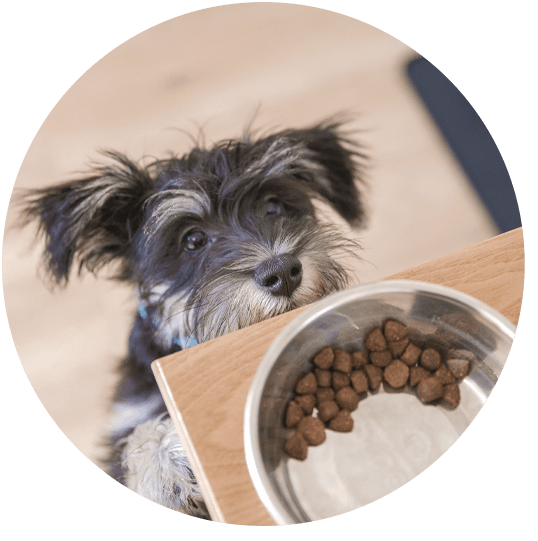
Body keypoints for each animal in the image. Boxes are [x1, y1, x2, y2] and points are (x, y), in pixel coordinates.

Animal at [21, 119, 364, 520]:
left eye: (274, 206)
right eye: (193, 240)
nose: (282, 271)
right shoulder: (129, 418)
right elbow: (136, 438)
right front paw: (165, 464)